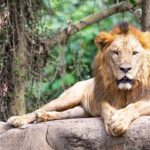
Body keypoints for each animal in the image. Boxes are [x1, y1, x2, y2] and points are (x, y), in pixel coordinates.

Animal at [7, 22, 150, 136]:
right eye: (116, 52)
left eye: (134, 53)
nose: (125, 69)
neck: (125, 90)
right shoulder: (102, 98)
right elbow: (107, 109)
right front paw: (112, 121)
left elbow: (134, 106)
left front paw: (119, 121)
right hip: (67, 98)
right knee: (42, 108)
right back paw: (18, 119)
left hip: (81, 111)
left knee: (64, 114)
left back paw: (42, 116)